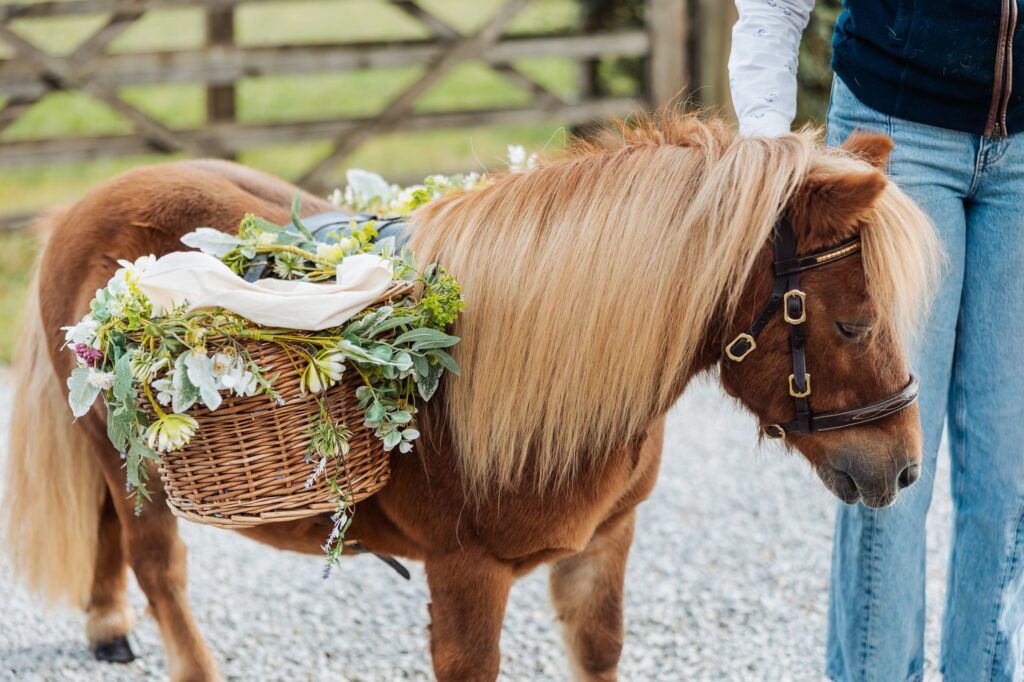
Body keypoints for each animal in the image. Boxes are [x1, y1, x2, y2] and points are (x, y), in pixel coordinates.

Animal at [1, 116, 939, 681]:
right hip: (136, 468)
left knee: (104, 526)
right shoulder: (466, 578)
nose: (902, 471)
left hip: (119, 450)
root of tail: (81, 209)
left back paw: (104, 625)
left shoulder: (602, 552)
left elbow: (599, 649)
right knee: (158, 563)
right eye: (853, 323)